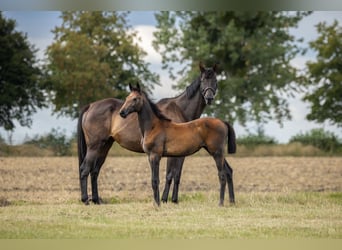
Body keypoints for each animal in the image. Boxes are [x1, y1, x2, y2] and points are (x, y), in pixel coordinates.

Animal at [78, 63, 228, 205]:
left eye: (215, 80)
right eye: (203, 80)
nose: (209, 97)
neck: (180, 109)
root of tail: (90, 106)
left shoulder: (179, 153)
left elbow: (177, 175)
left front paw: (173, 200)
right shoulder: (172, 154)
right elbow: (170, 175)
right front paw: (165, 199)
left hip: (104, 146)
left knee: (94, 171)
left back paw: (96, 200)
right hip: (94, 147)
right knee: (85, 169)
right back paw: (86, 200)